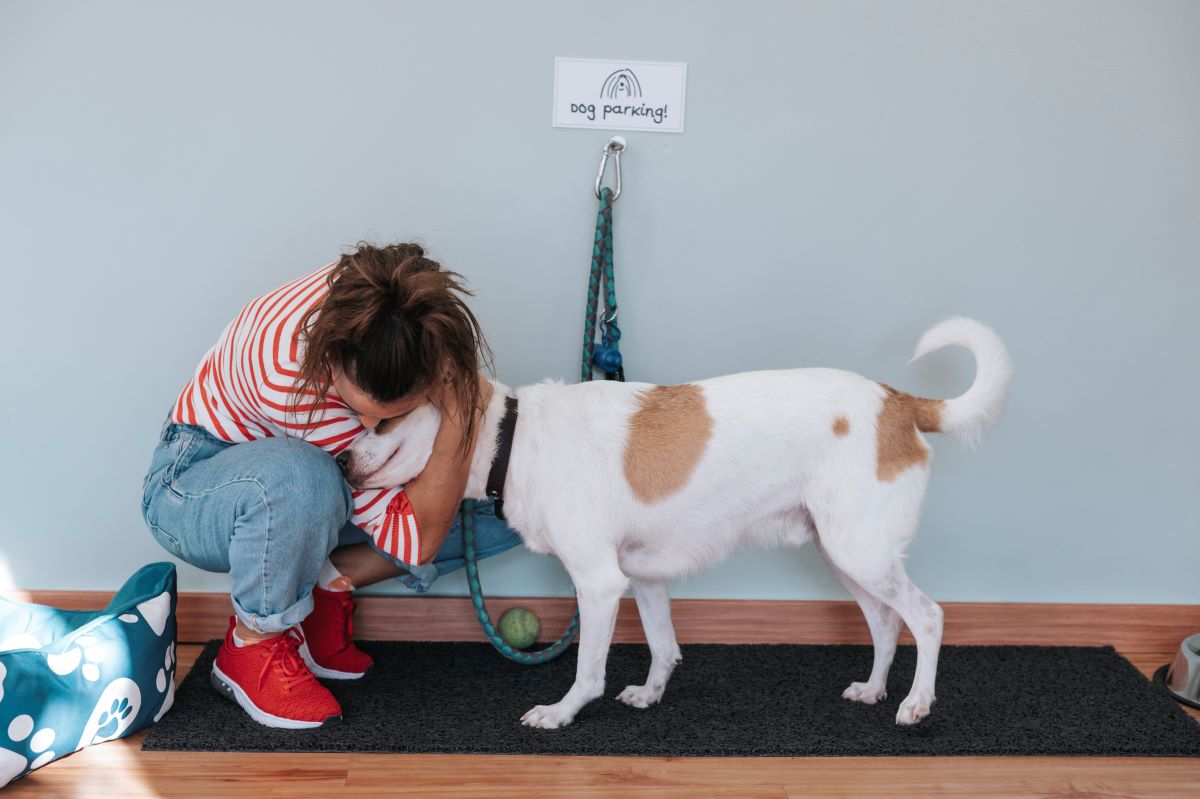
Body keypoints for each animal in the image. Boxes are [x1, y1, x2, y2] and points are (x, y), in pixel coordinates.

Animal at [340, 317, 1011, 729]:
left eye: (383, 419)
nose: (340, 461)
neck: (515, 435)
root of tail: (900, 402)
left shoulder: (599, 584)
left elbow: (588, 671)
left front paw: (562, 712)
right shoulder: (643, 578)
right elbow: (664, 647)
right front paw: (650, 694)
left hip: (860, 551)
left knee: (928, 617)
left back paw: (916, 703)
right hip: (848, 555)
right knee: (886, 622)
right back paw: (874, 689)